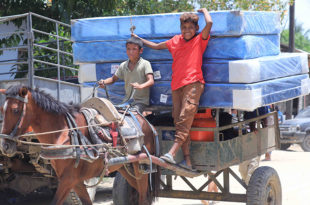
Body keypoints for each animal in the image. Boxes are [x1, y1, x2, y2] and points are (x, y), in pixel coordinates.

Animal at [0, 84, 159, 204]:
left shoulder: (68, 180)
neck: (62, 132)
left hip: (141, 165)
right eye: (2, 110)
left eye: (15, 110)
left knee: (144, 196)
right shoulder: (76, 181)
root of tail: (146, 121)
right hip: (124, 166)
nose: (5, 146)